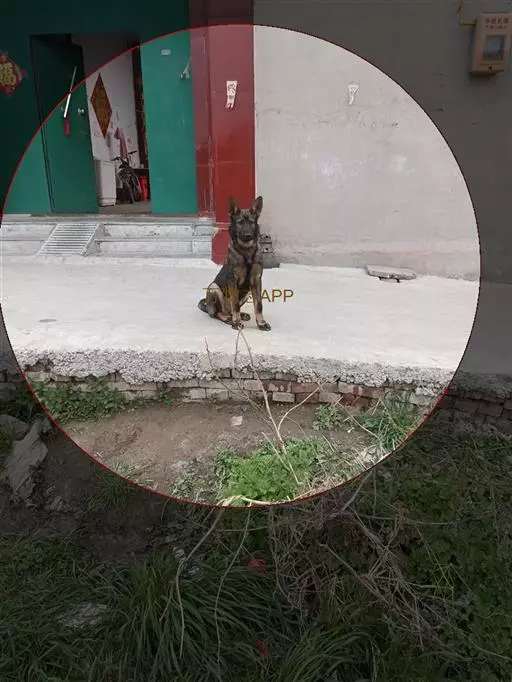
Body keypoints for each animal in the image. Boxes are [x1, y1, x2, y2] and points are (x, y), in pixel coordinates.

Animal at [198, 196, 271, 331]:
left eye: (251, 222)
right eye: (240, 222)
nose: (248, 235)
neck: (246, 251)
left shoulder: (256, 280)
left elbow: (258, 305)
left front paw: (261, 323)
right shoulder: (233, 280)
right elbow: (235, 304)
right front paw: (236, 323)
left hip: (247, 293)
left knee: (230, 310)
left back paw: (241, 315)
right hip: (214, 287)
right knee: (219, 313)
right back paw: (229, 318)